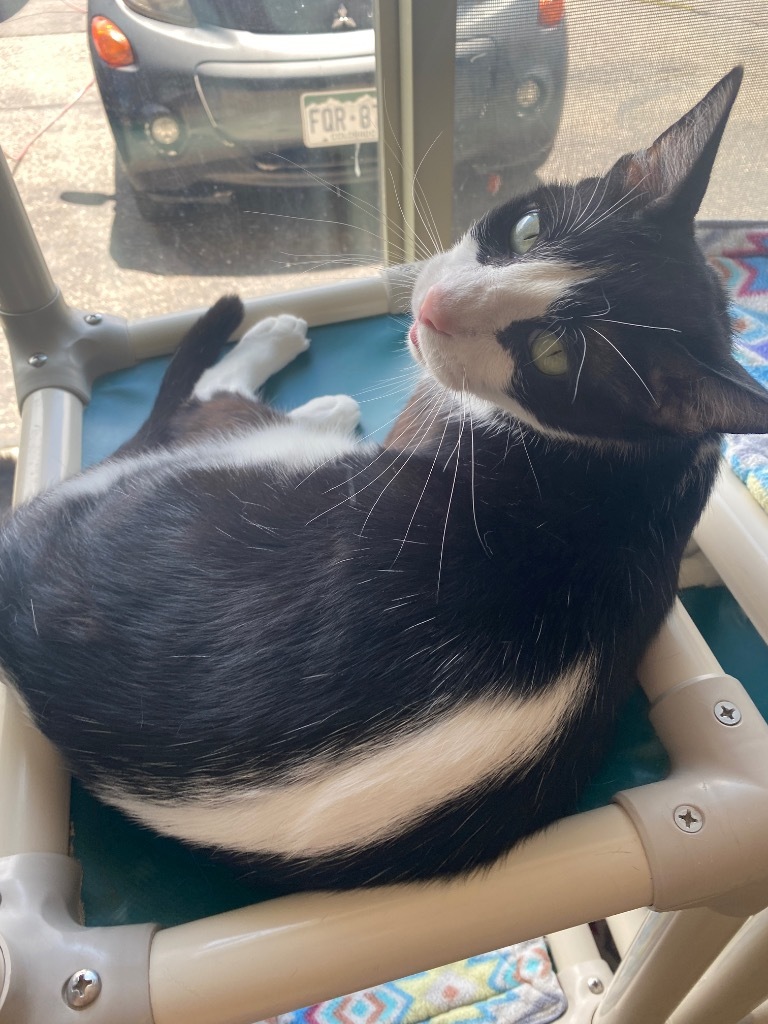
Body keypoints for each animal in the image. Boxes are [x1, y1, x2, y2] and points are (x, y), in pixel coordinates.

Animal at [0, 68, 765, 892]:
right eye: (527, 231)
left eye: (554, 354)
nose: (431, 308)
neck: (625, 459)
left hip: (247, 461)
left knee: (213, 405)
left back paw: (292, 364)